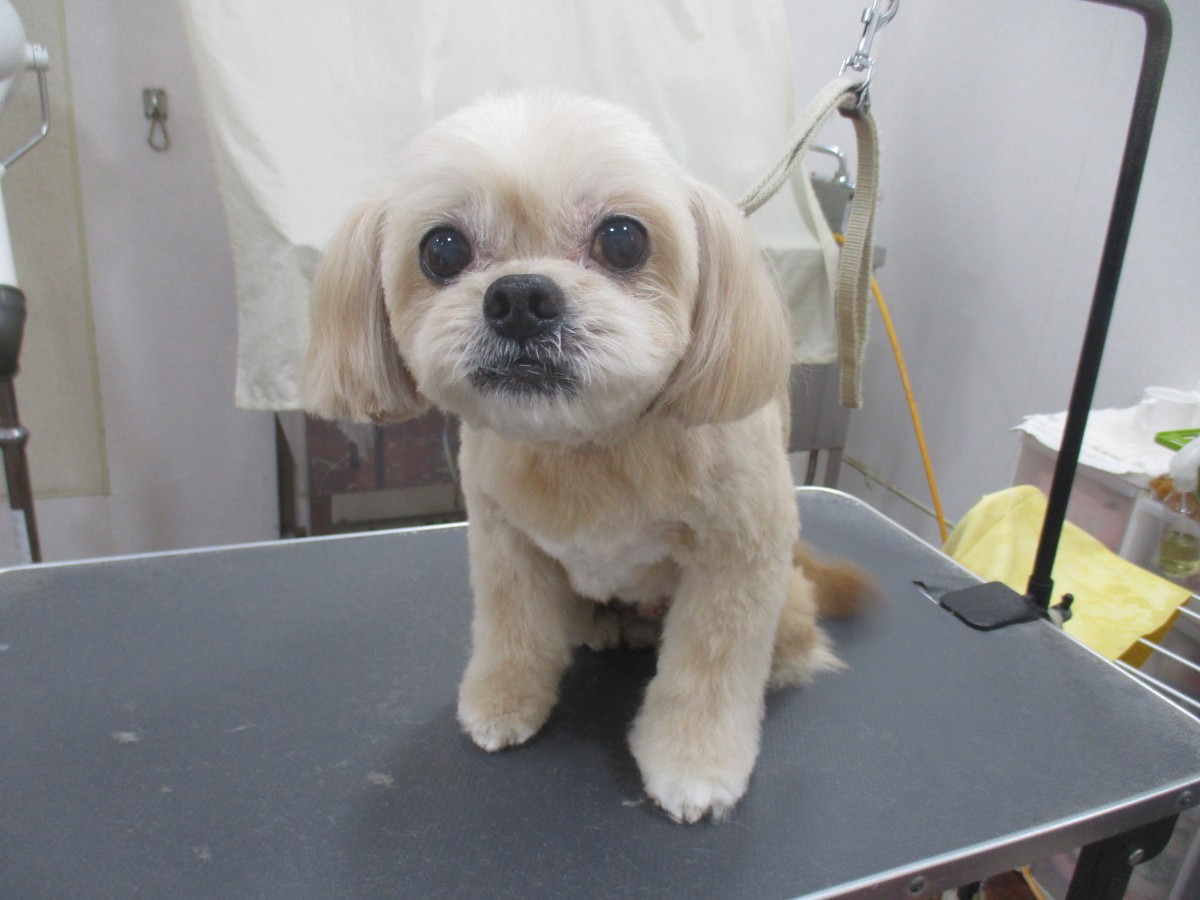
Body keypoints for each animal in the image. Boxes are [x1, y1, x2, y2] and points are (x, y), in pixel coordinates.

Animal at [303, 92, 871, 823]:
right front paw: (502, 701)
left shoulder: (737, 561)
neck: (586, 446)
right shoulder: (505, 542)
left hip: (789, 595)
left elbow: (708, 671)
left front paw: (694, 765)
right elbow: (512, 629)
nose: (520, 297)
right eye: (443, 249)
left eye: (622, 239)